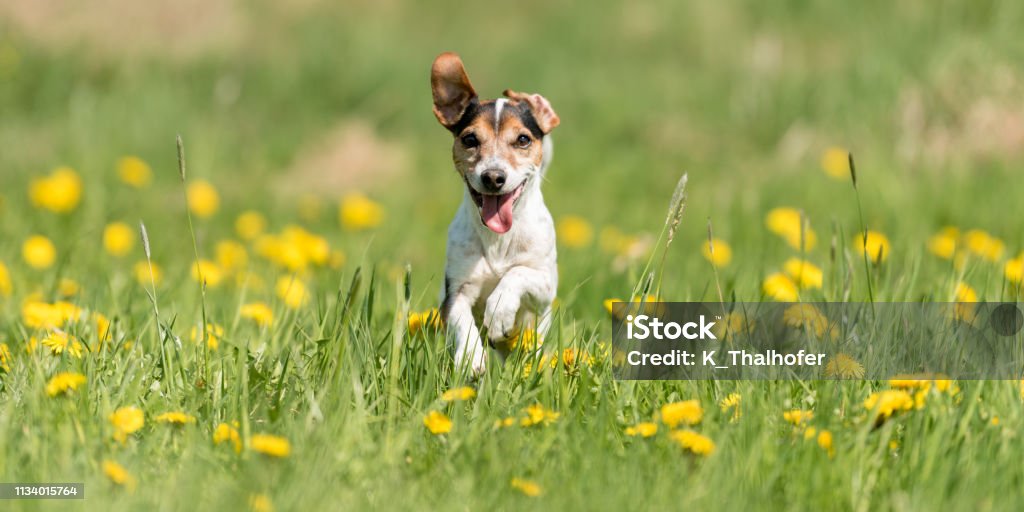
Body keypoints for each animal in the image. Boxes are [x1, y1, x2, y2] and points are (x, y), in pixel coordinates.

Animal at [430, 51, 565, 374]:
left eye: (523, 139)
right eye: (469, 139)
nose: (493, 177)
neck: (498, 240)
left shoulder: (544, 285)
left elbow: (517, 273)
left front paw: (499, 310)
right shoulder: (455, 292)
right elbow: (462, 320)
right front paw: (470, 356)